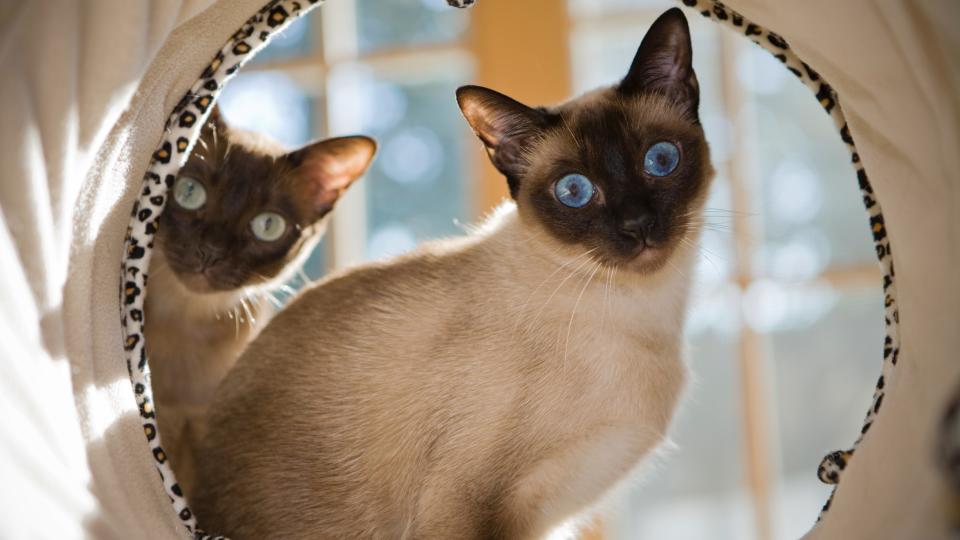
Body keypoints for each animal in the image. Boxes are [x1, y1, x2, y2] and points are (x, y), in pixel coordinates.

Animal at [193, 9, 712, 540]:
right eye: (574, 190)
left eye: (660, 160)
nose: (638, 225)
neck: (642, 310)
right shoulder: (465, 507)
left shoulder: (550, 518)